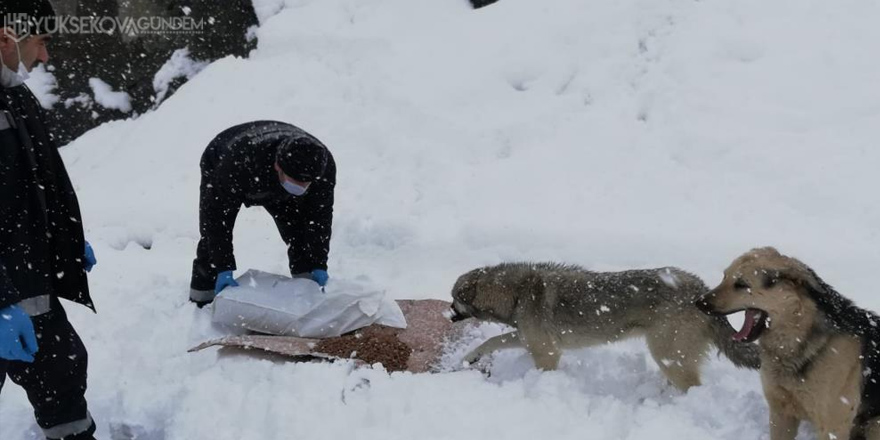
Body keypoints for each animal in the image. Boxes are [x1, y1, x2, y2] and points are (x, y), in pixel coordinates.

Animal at [450, 262, 760, 392]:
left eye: (454, 300)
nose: (448, 314)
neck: (517, 293)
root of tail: (701, 290)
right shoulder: (529, 339)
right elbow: (490, 342)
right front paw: (468, 358)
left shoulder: (546, 352)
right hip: (670, 358)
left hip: (667, 355)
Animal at [696, 248, 880, 440]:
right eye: (724, 277)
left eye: (741, 284)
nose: (698, 302)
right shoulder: (780, 411)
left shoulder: (833, 426)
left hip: (875, 425)